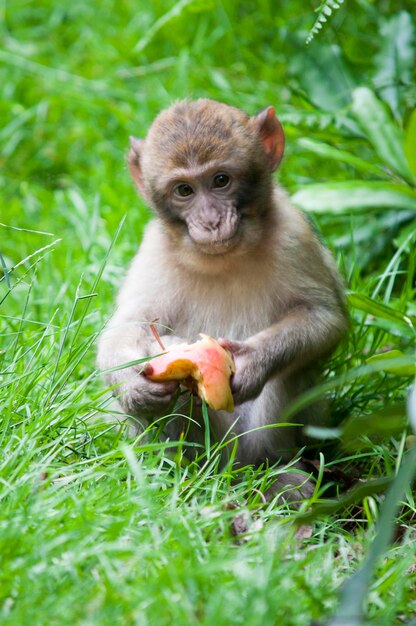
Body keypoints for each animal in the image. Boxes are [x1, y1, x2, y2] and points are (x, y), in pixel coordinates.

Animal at [96, 98, 348, 498]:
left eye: (220, 180)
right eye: (184, 190)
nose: (211, 221)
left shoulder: (294, 235)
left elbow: (324, 318)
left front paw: (255, 360)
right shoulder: (154, 251)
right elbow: (125, 330)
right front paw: (135, 386)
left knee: (289, 374)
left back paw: (275, 471)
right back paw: (184, 471)